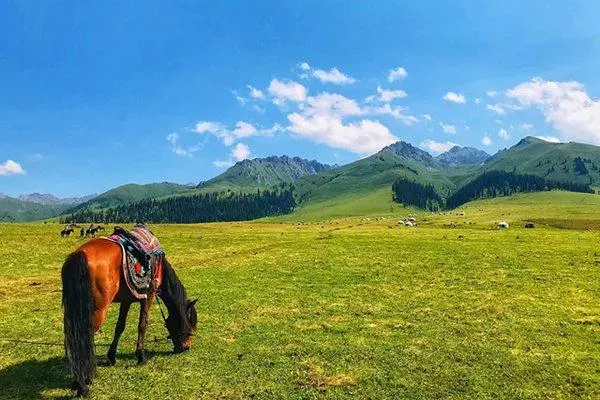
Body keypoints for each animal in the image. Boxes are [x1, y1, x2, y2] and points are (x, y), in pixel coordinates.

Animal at [60, 236, 198, 396]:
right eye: (190, 321)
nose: (186, 347)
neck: (159, 267)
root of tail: (79, 254)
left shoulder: (126, 300)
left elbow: (120, 326)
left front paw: (111, 357)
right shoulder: (148, 295)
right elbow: (142, 325)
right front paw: (141, 356)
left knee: (70, 339)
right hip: (96, 311)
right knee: (83, 337)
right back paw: (82, 384)